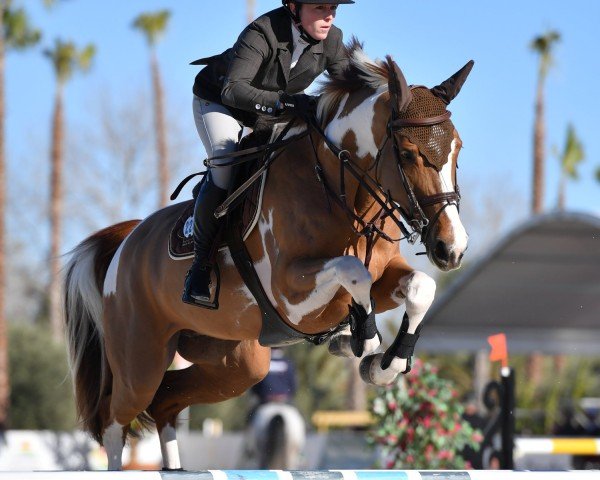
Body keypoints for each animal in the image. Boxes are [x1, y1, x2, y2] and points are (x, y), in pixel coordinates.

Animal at [61, 40, 474, 468]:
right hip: (140, 358)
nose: (451, 248)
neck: (340, 191)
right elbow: (352, 271)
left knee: (165, 403)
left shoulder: (385, 274)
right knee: (116, 421)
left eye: (458, 149)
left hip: (235, 363)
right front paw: (360, 339)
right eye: (408, 154)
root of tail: (128, 241)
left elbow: (420, 286)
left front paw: (383, 364)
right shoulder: (291, 294)